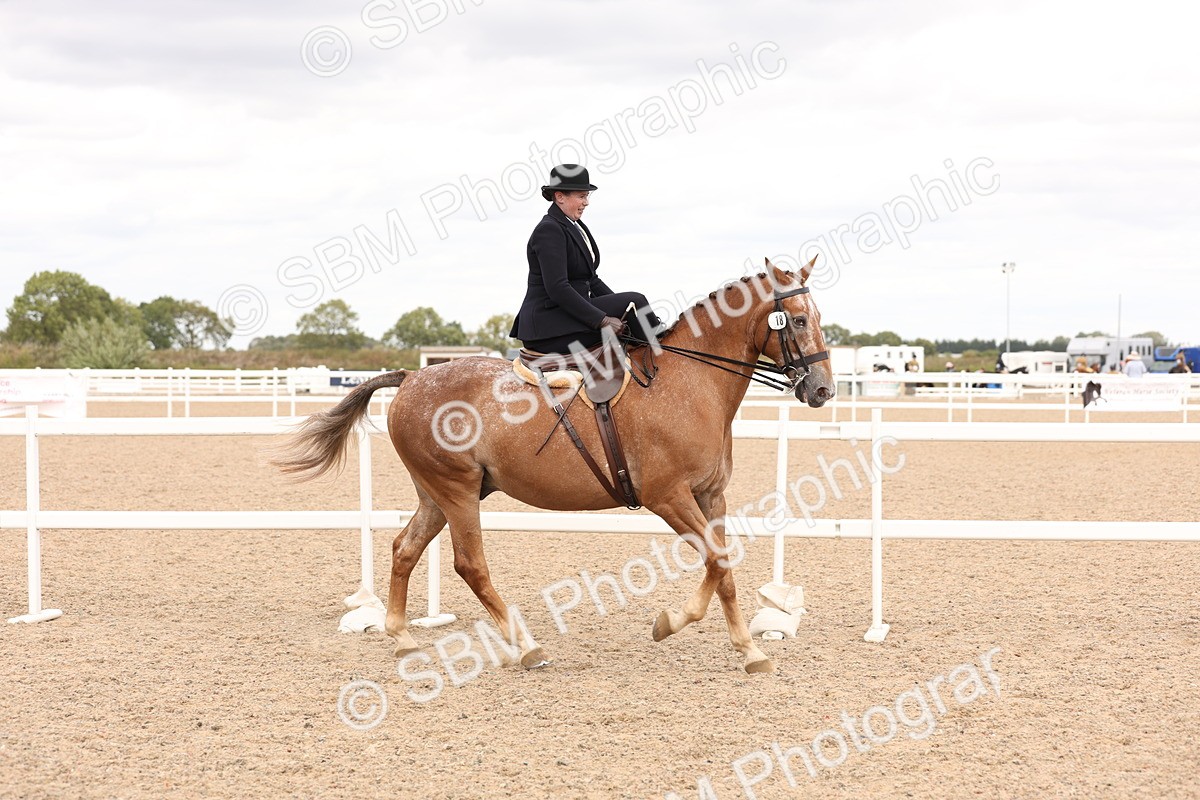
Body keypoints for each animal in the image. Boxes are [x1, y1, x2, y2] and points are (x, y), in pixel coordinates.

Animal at [274, 260, 834, 674]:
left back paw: (404, 639)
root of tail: (412, 377)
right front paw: (670, 623)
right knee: (470, 565)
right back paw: (525, 647)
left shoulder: (710, 496)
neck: (691, 380)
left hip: (440, 494)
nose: (824, 390)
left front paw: (751, 651)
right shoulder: (669, 498)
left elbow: (725, 570)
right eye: (797, 320)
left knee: (405, 549)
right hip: (456, 490)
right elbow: (716, 564)